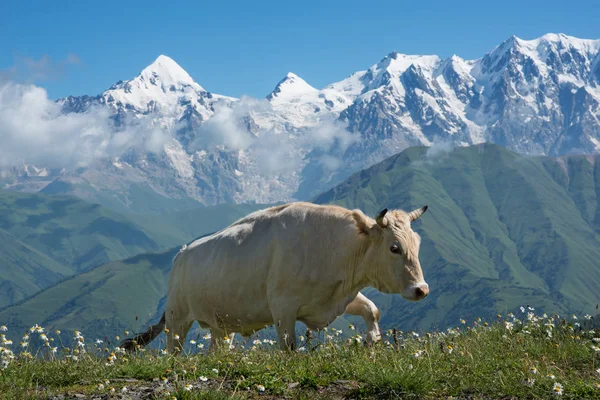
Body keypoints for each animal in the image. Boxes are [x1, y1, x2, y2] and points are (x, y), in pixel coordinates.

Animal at [122, 202, 428, 352]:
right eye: (394, 247)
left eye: (418, 243)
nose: (422, 289)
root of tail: (182, 254)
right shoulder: (283, 307)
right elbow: (289, 347)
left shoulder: (338, 296)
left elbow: (371, 310)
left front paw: (371, 342)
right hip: (178, 318)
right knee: (173, 351)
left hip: (221, 326)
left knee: (217, 351)